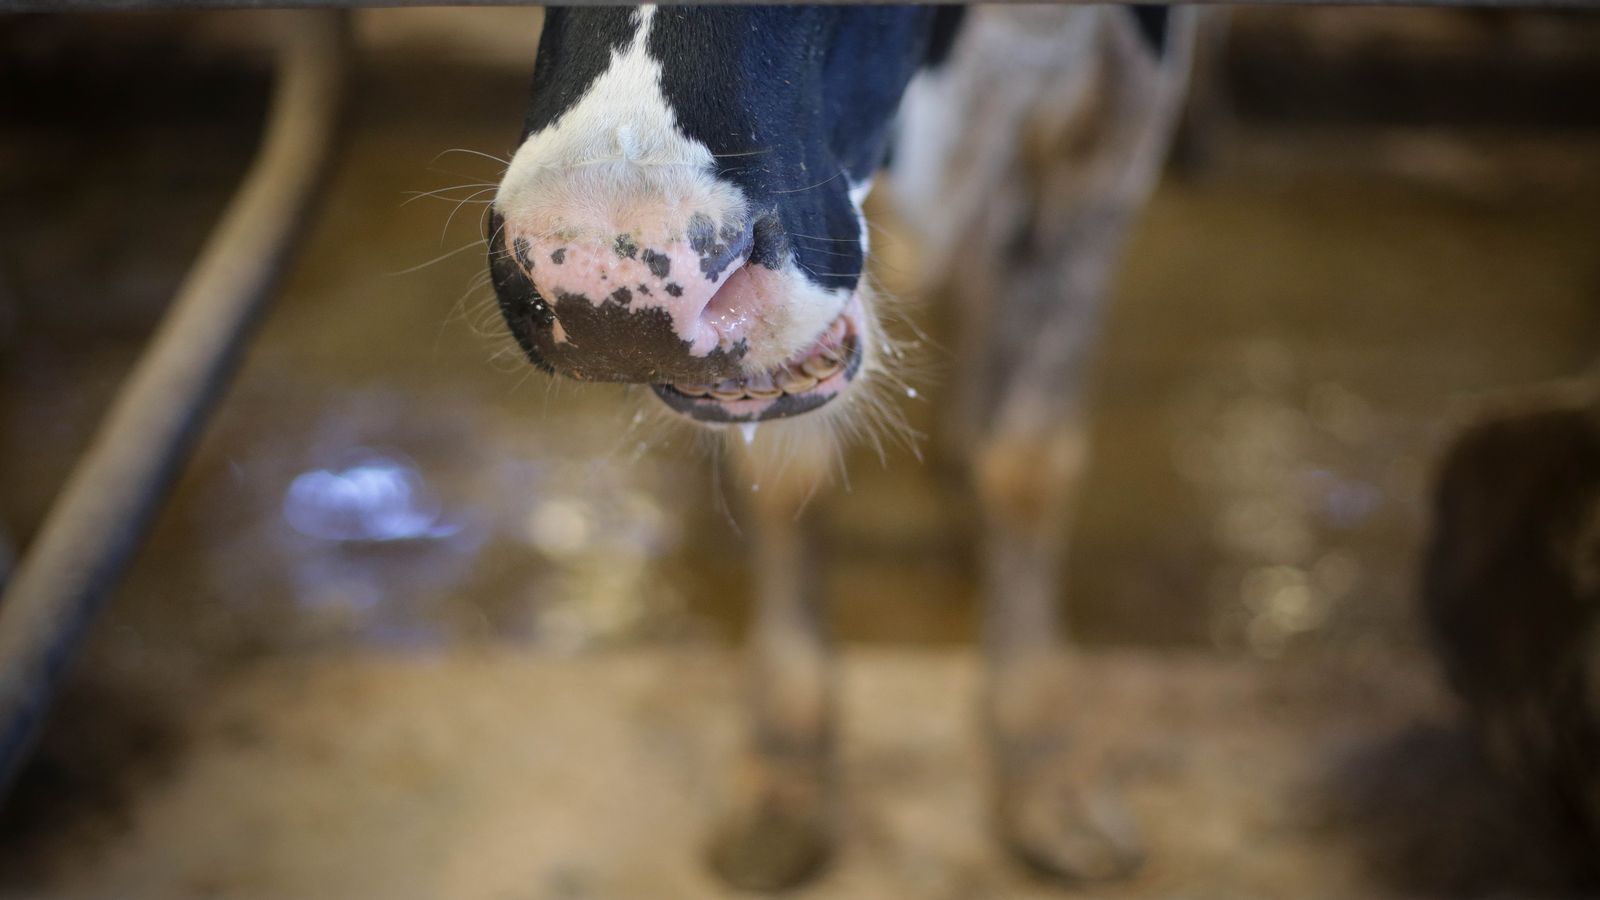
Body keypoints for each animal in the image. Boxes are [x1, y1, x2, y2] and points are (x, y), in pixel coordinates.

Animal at [487, 4, 1197, 890]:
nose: (601, 289)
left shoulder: (1121, 111)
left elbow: (1028, 461)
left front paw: (1043, 765)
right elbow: (788, 474)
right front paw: (785, 769)